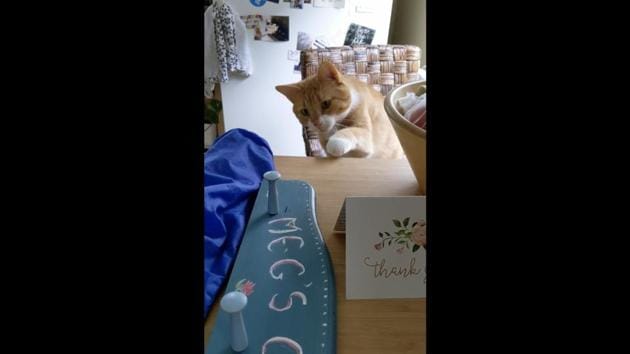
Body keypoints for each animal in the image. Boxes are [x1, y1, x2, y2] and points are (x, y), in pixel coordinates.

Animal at [276, 60, 404, 159]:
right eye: (305, 111)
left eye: (326, 104)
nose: (316, 123)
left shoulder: (365, 135)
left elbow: (351, 131)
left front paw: (336, 141)